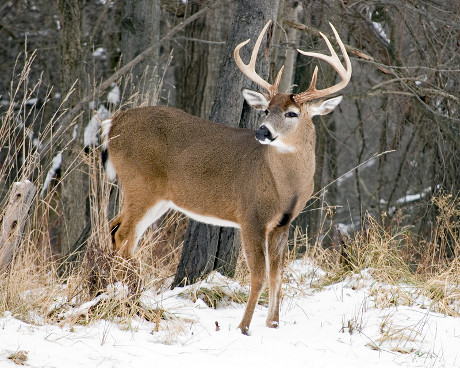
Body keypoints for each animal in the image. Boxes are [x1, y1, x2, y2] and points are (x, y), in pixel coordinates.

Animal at [101, 21, 352, 334]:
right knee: (123, 233)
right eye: (266, 110)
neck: (285, 187)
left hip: (158, 197)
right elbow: (258, 274)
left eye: (292, 113)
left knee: (119, 230)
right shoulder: (251, 215)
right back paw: (127, 291)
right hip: (140, 183)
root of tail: (113, 123)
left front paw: (273, 323)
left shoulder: (283, 223)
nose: (263, 131)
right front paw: (244, 327)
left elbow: (277, 273)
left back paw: (121, 289)